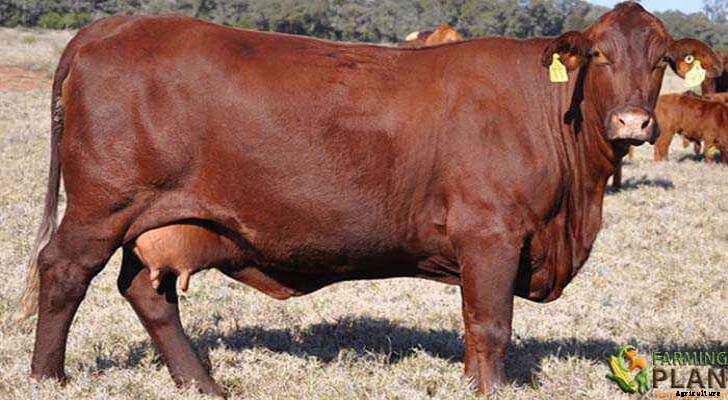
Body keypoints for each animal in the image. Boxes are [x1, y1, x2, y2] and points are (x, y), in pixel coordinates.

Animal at [17, 3, 722, 397]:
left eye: (661, 58)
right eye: (598, 55)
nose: (633, 123)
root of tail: (112, 26)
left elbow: (478, 328)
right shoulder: (490, 234)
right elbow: (490, 326)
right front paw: (491, 390)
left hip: (158, 219)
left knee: (146, 291)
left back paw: (202, 383)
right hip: (101, 207)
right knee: (64, 272)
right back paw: (49, 378)